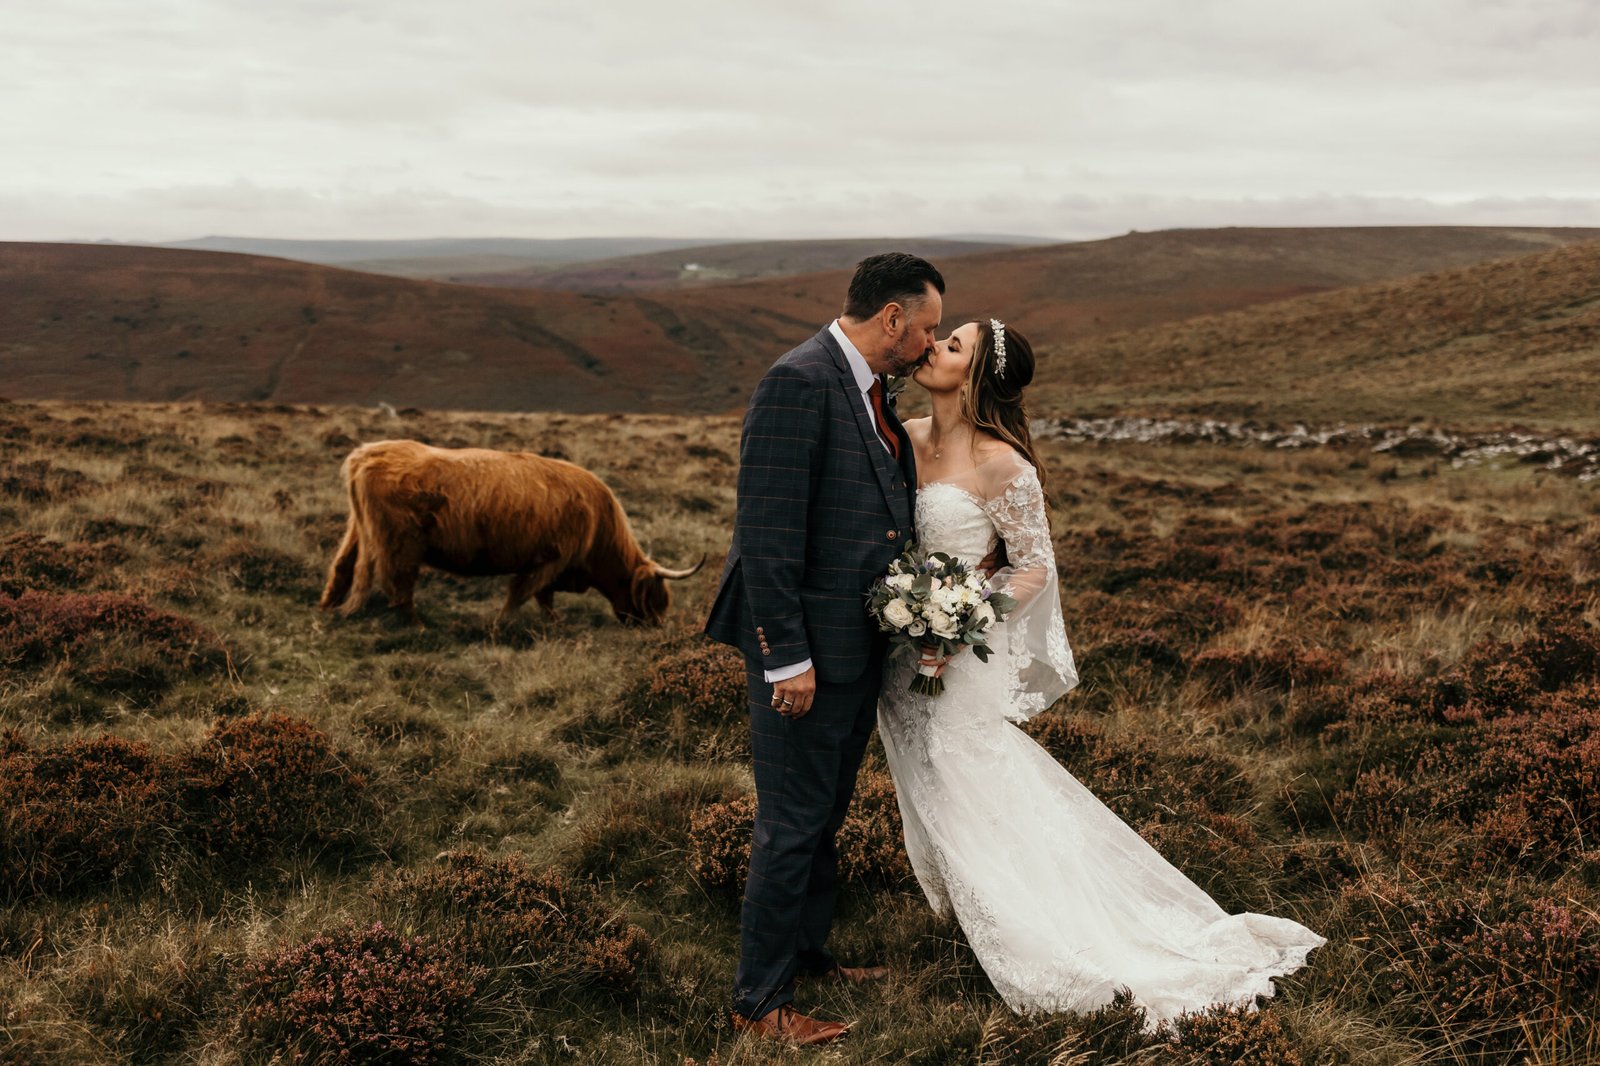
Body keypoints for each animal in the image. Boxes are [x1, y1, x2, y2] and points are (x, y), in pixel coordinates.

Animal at [318, 438, 700, 624]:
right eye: (656, 598)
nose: (655, 626)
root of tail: (367, 453)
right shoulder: (549, 559)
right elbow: (522, 595)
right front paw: (499, 626)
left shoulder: (550, 564)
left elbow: (543, 599)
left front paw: (554, 625)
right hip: (401, 543)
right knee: (398, 587)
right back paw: (418, 626)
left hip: (358, 530)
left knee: (342, 566)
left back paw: (326, 609)